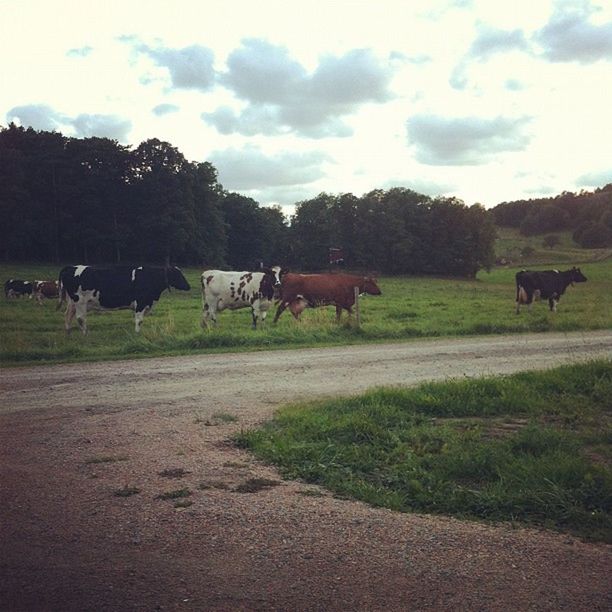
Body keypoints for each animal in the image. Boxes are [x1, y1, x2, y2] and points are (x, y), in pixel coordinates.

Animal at [58, 266, 191, 334]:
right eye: (178, 275)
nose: (188, 286)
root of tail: (71, 267)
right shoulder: (141, 303)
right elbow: (139, 320)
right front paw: (137, 333)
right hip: (80, 301)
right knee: (80, 318)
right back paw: (85, 333)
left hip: (72, 302)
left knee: (68, 315)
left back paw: (68, 332)